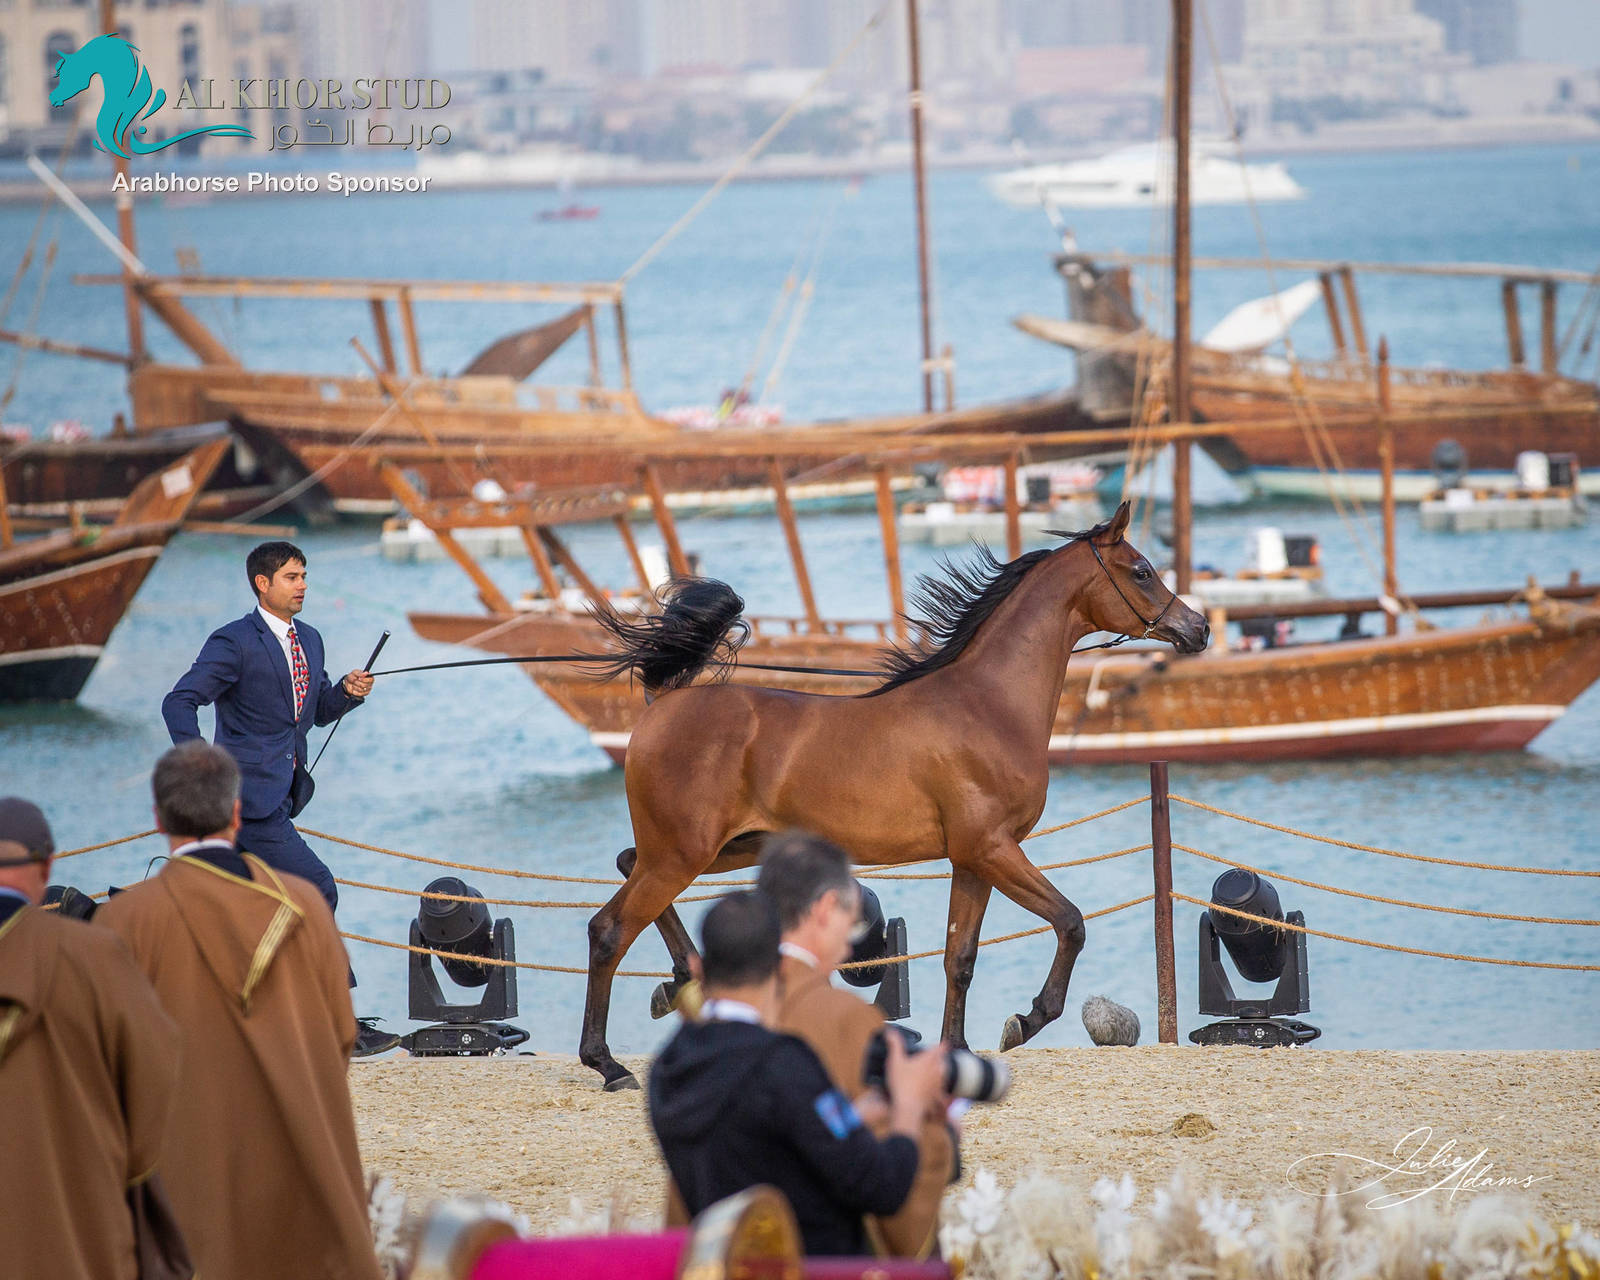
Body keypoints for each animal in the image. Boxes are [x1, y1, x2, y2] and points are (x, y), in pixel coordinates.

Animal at [579, 500, 1209, 1090]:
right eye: (1142, 571)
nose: (1198, 628)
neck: (988, 704)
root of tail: (663, 704)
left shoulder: (972, 860)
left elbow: (960, 957)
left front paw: (956, 1052)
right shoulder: (993, 849)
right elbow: (1071, 923)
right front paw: (1025, 1021)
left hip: (719, 849)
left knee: (626, 866)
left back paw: (681, 981)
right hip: (682, 855)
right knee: (609, 929)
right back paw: (609, 1063)